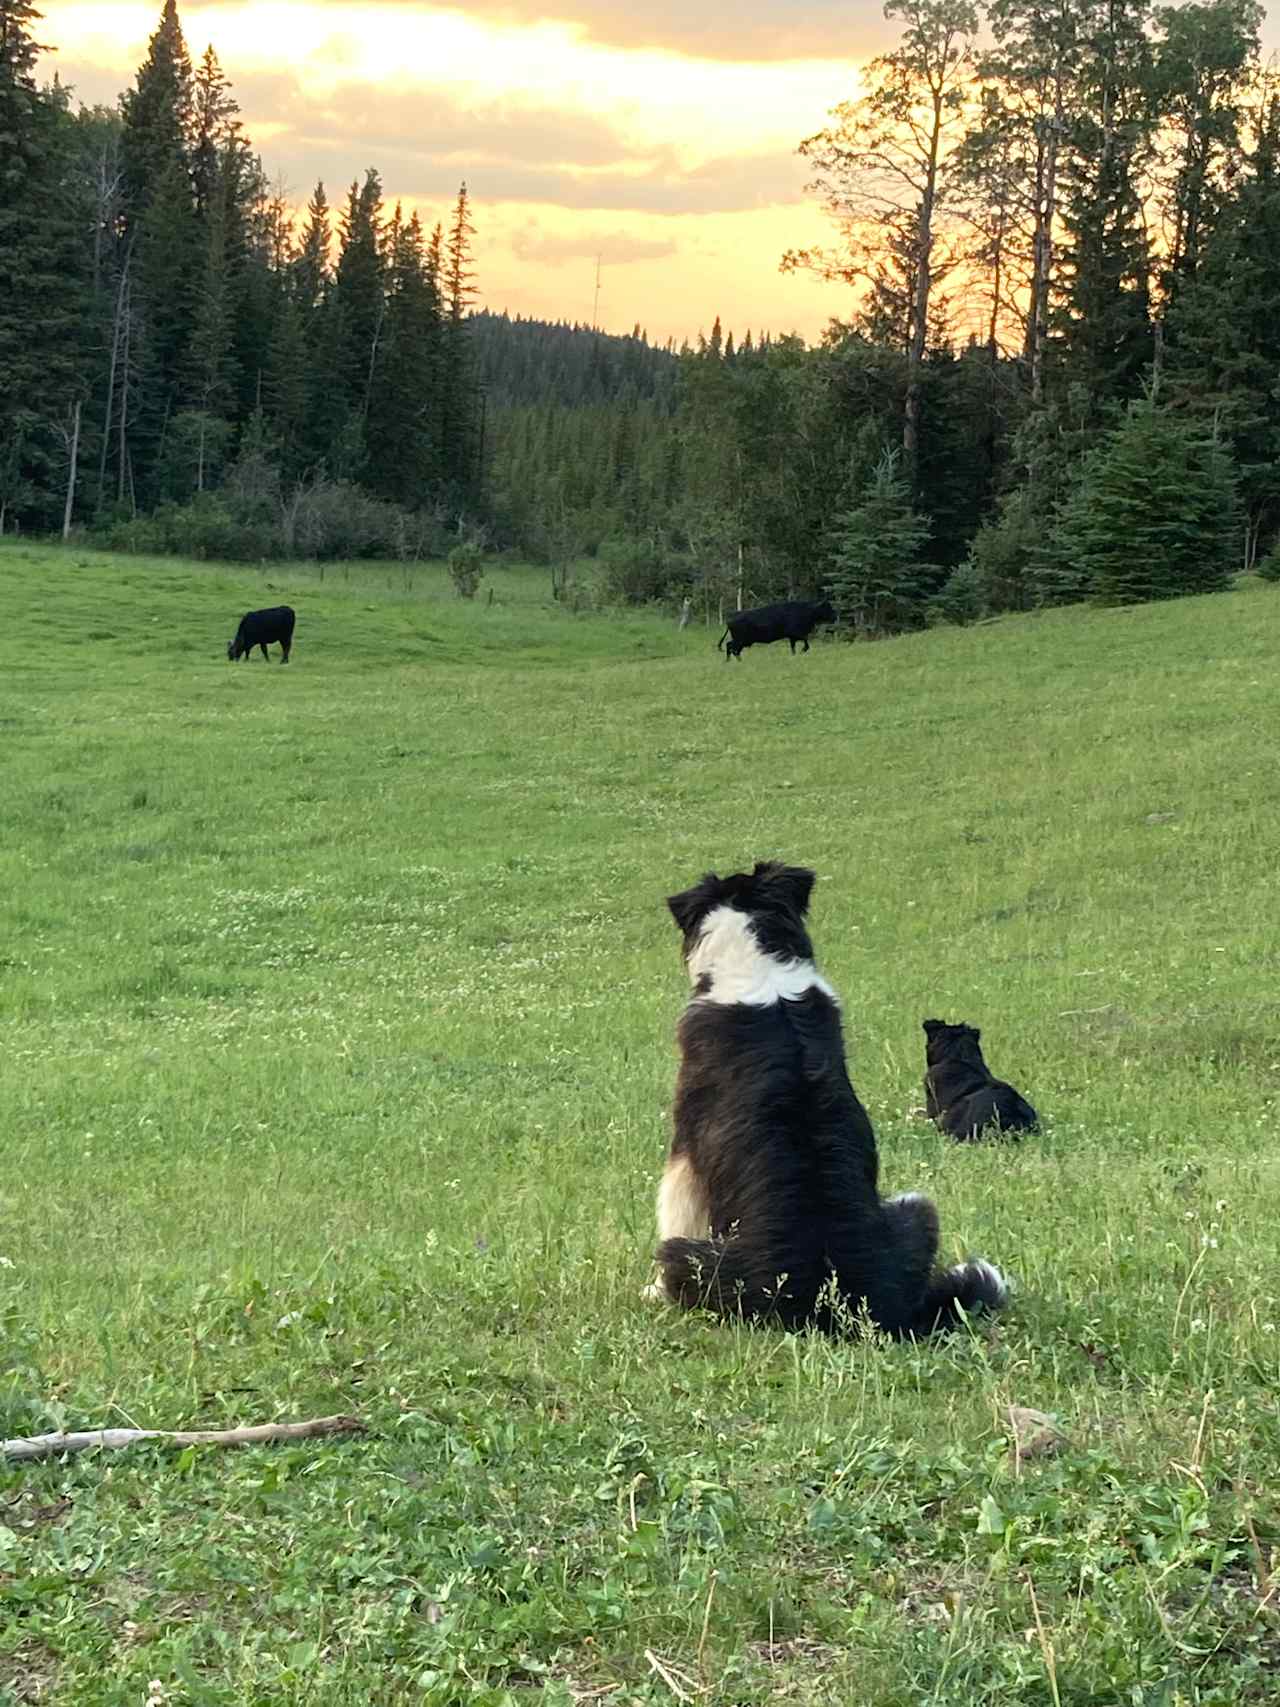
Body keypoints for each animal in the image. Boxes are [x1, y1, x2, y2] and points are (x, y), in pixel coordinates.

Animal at [651, 860, 1010, 1338]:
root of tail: (841, 1305)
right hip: (918, 1208)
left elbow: (674, 1203)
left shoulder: (685, 1154)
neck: (759, 967)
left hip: (684, 1256)